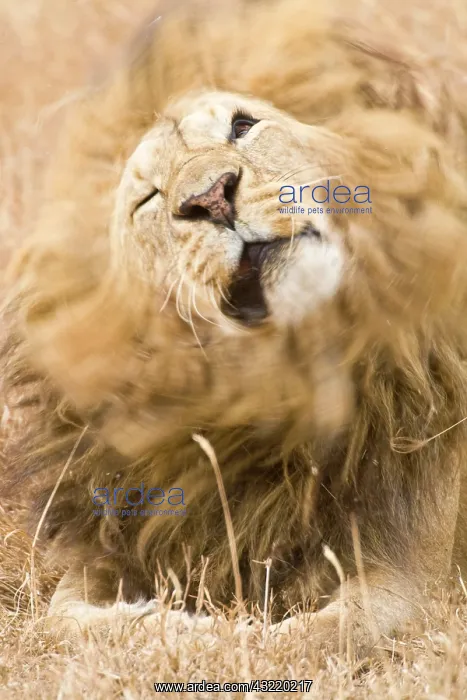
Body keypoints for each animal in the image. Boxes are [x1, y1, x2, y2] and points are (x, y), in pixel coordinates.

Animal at [3, 0, 467, 662]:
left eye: (242, 127)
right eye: (148, 199)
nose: (212, 197)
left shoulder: (415, 578)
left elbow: (314, 638)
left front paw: (223, 639)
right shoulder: (127, 537)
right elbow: (62, 621)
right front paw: (170, 628)